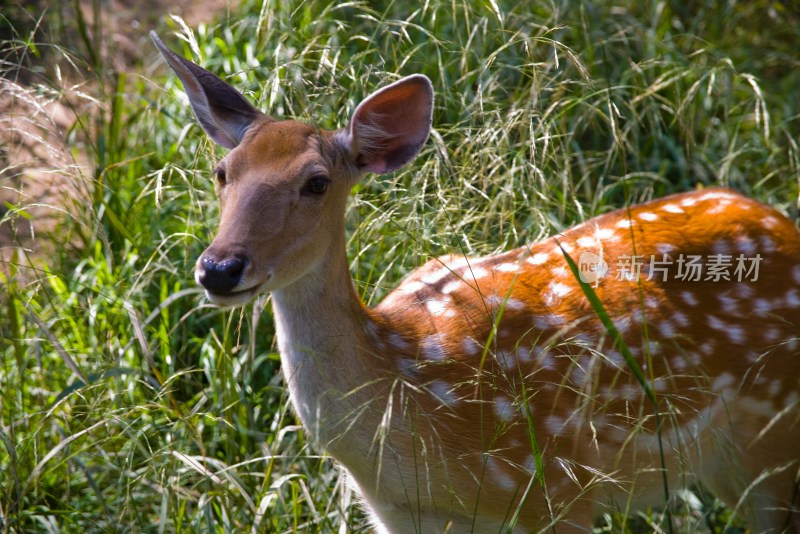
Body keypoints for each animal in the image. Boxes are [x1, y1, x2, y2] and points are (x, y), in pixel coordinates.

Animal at [153, 33, 800, 534]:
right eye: (223, 172)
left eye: (316, 182)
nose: (219, 267)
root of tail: (781, 221)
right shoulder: (397, 516)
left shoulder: (559, 487)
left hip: (773, 435)